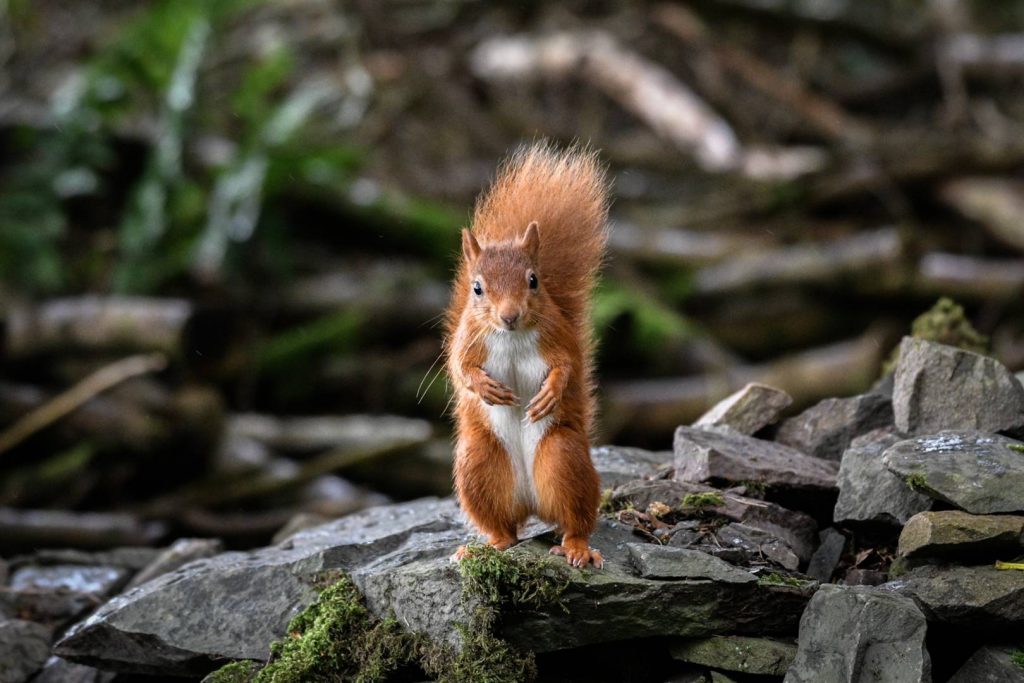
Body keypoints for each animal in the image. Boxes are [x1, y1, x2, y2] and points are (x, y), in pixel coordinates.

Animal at [446, 141, 606, 569]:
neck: (512, 336)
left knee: (576, 519)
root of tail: (533, 504)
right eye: (477, 288)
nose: (510, 315)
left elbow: (569, 365)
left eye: (533, 281)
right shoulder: (466, 340)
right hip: (479, 465)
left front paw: (551, 391)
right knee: (506, 527)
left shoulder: (559, 335)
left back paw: (577, 548)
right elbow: (460, 368)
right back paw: (489, 545)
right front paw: (484, 387)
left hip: (564, 457)